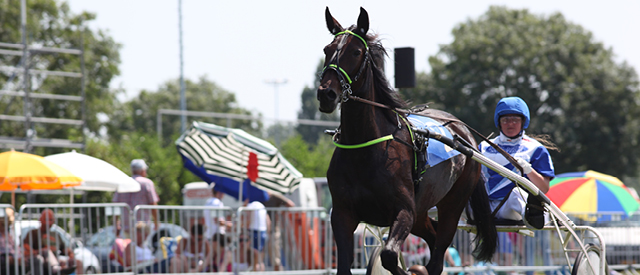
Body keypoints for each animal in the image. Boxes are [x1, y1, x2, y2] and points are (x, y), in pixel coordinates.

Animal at [318, 6, 498, 275]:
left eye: (356, 51)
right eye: (327, 49)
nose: (326, 94)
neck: (365, 150)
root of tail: (464, 134)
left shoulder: (404, 210)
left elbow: (389, 255)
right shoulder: (341, 213)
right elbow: (345, 265)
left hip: (453, 203)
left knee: (438, 253)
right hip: (423, 211)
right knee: (433, 238)